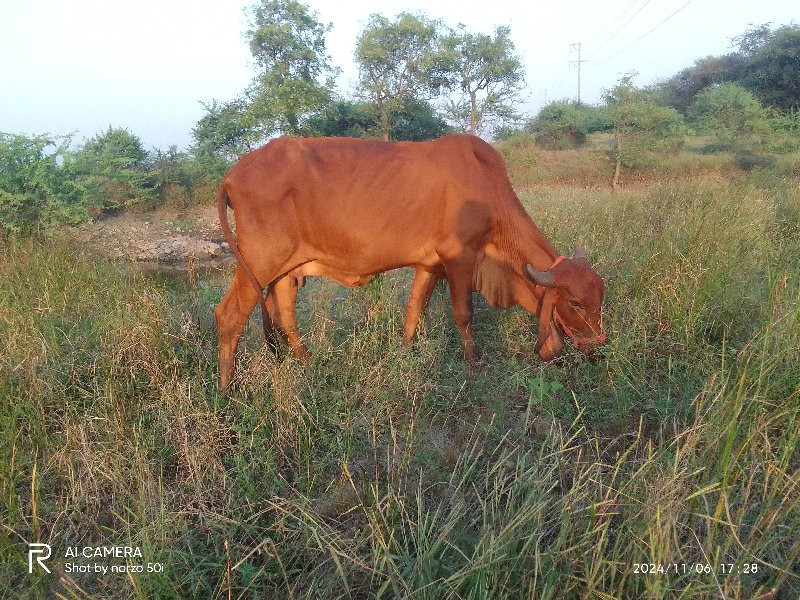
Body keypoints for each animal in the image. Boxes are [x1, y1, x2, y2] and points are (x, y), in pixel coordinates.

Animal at [216, 134, 604, 390]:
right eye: (574, 302)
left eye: (601, 298)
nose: (597, 351)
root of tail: (232, 175)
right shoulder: (459, 258)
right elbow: (463, 313)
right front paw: (474, 360)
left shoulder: (429, 265)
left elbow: (415, 308)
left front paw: (405, 351)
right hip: (259, 262)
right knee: (230, 316)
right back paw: (227, 389)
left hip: (285, 271)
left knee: (283, 314)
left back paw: (306, 362)